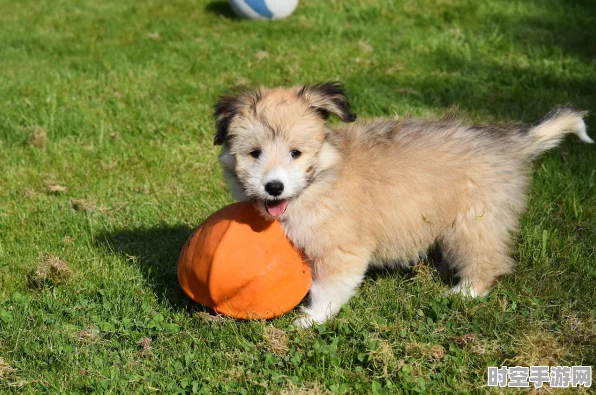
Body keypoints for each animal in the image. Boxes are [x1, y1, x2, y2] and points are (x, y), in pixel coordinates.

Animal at [213, 81, 592, 328]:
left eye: (296, 153)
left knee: (487, 260)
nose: (273, 187)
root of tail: (511, 142)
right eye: (254, 153)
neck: (322, 178)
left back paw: (465, 292)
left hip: (474, 220)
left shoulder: (341, 248)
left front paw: (311, 320)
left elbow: (327, 287)